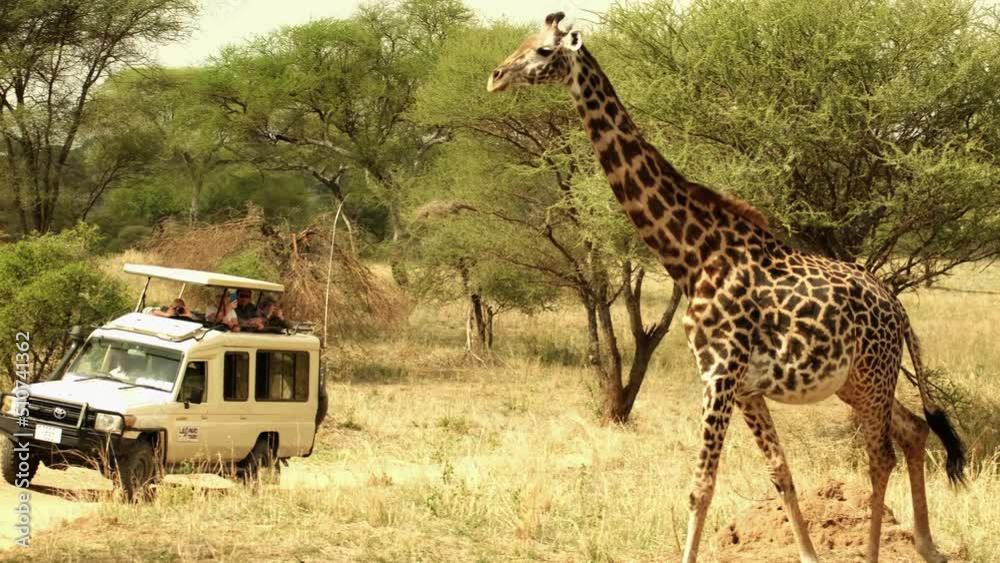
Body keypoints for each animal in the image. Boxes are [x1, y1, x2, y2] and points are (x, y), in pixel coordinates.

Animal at [487, 13, 966, 563]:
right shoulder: (746, 387)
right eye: (522, 42)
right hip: (855, 382)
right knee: (914, 429)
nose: (495, 77)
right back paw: (928, 545)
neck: (690, 255)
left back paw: (876, 552)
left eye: (544, 51)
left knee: (880, 454)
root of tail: (898, 308)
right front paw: (808, 553)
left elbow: (701, 486)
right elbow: (781, 474)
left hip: (872, 375)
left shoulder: (717, 372)